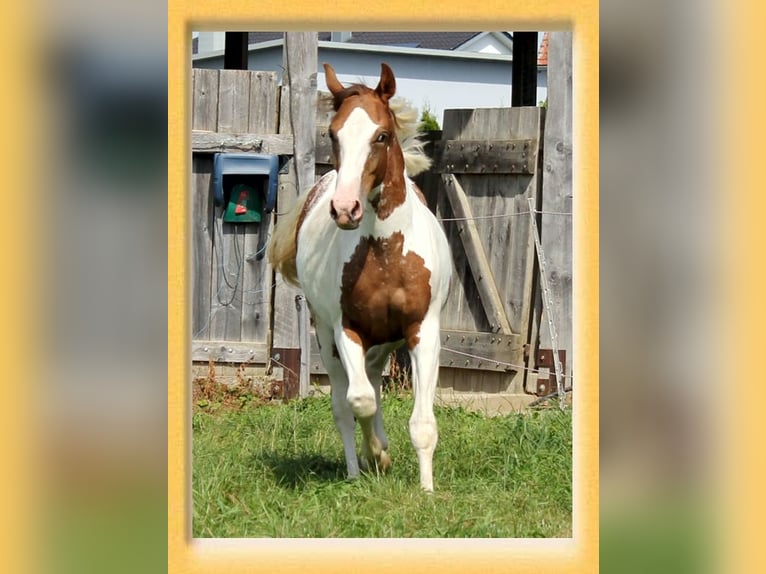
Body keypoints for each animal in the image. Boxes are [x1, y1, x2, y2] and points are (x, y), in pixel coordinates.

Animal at [270, 64, 452, 496]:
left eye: (381, 135)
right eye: (333, 134)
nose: (345, 208)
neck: (386, 253)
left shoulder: (423, 330)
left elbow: (422, 423)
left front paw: (426, 490)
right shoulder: (347, 330)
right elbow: (360, 402)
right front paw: (378, 455)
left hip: (383, 344)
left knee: (372, 381)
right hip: (328, 337)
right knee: (346, 402)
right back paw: (357, 468)